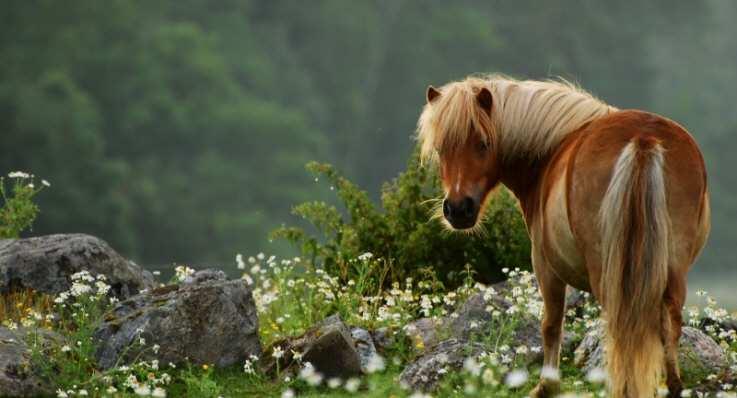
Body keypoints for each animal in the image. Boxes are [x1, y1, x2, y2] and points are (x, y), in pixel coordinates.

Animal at [414, 75, 708, 398]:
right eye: (440, 147)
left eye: (483, 143)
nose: (457, 209)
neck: (550, 152)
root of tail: (644, 139)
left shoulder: (545, 267)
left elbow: (551, 324)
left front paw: (547, 385)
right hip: (670, 269)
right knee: (670, 322)